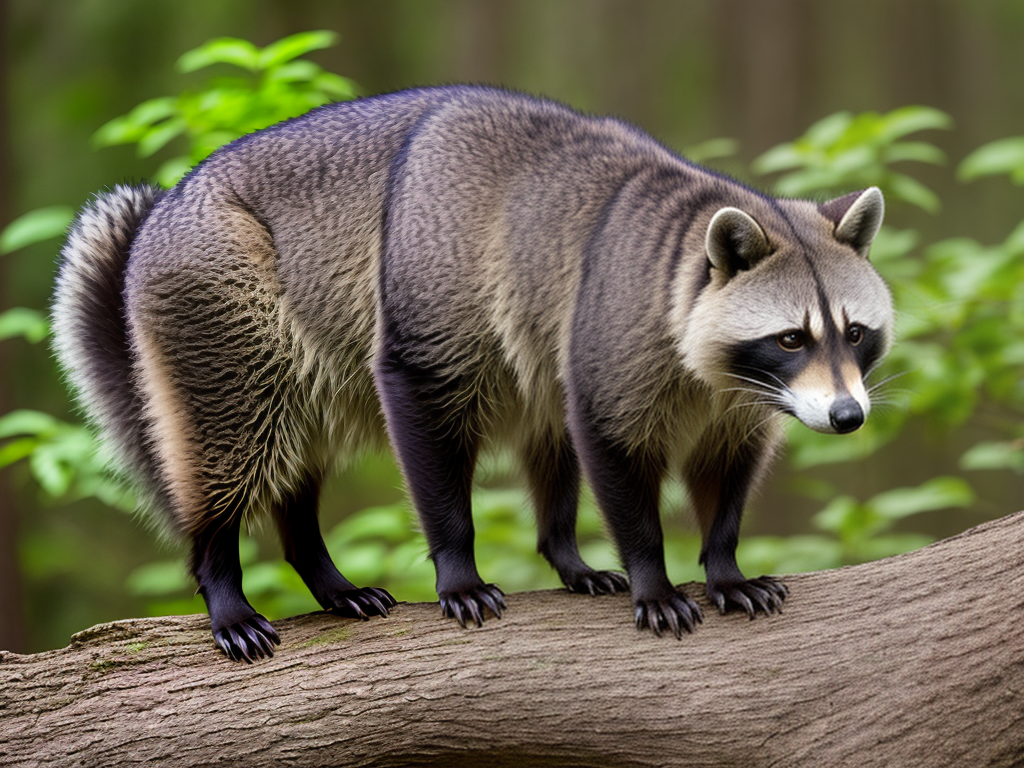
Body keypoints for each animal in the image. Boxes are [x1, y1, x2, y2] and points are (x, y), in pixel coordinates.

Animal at [52, 86, 892, 662]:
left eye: (854, 333)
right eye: (791, 337)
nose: (848, 418)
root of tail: (165, 213)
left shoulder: (736, 403)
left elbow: (722, 474)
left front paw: (722, 561)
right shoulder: (598, 342)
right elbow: (596, 452)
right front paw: (642, 573)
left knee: (333, 456)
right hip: (222, 308)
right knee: (233, 445)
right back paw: (219, 571)